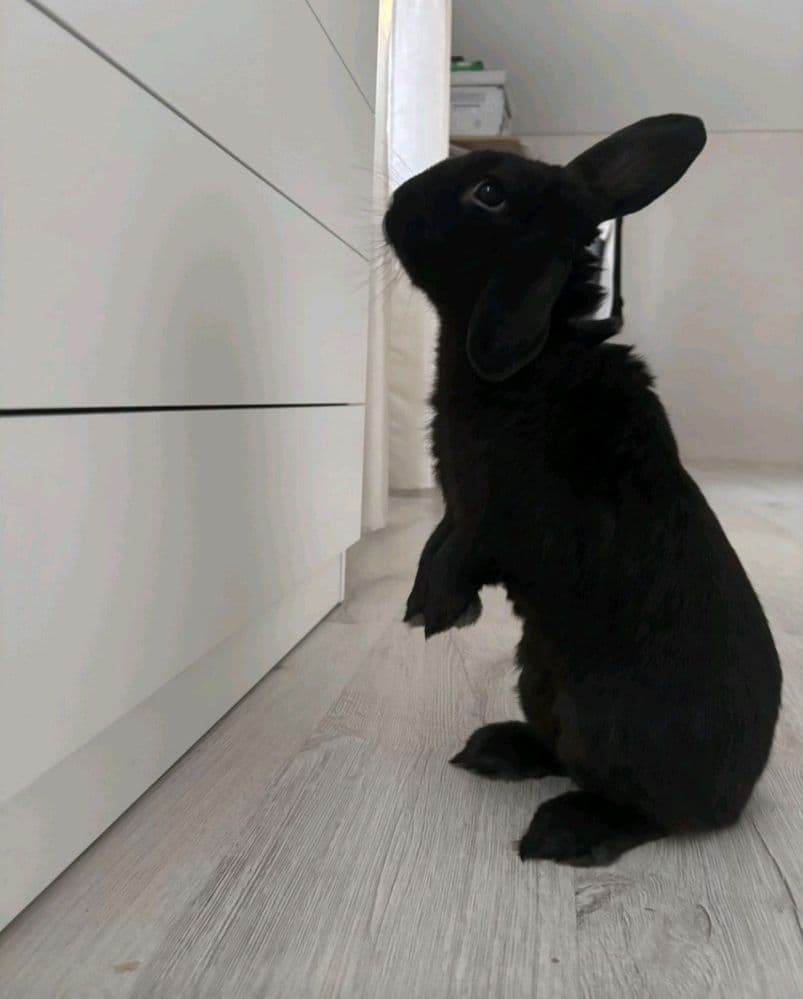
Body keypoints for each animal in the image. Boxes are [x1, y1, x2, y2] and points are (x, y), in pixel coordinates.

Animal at [382, 115, 782, 865]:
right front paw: (421, 604)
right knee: (560, 751)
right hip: (538, 677)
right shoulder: (457, 506)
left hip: (609, 724)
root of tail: (737, 794)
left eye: (488, 192)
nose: (394, 202)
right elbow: (434, 542)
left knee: (645, 810)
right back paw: (495, 750)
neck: (540, 356)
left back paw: (562, 830)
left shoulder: (493, 518)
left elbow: (459, 552)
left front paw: (439, 612)